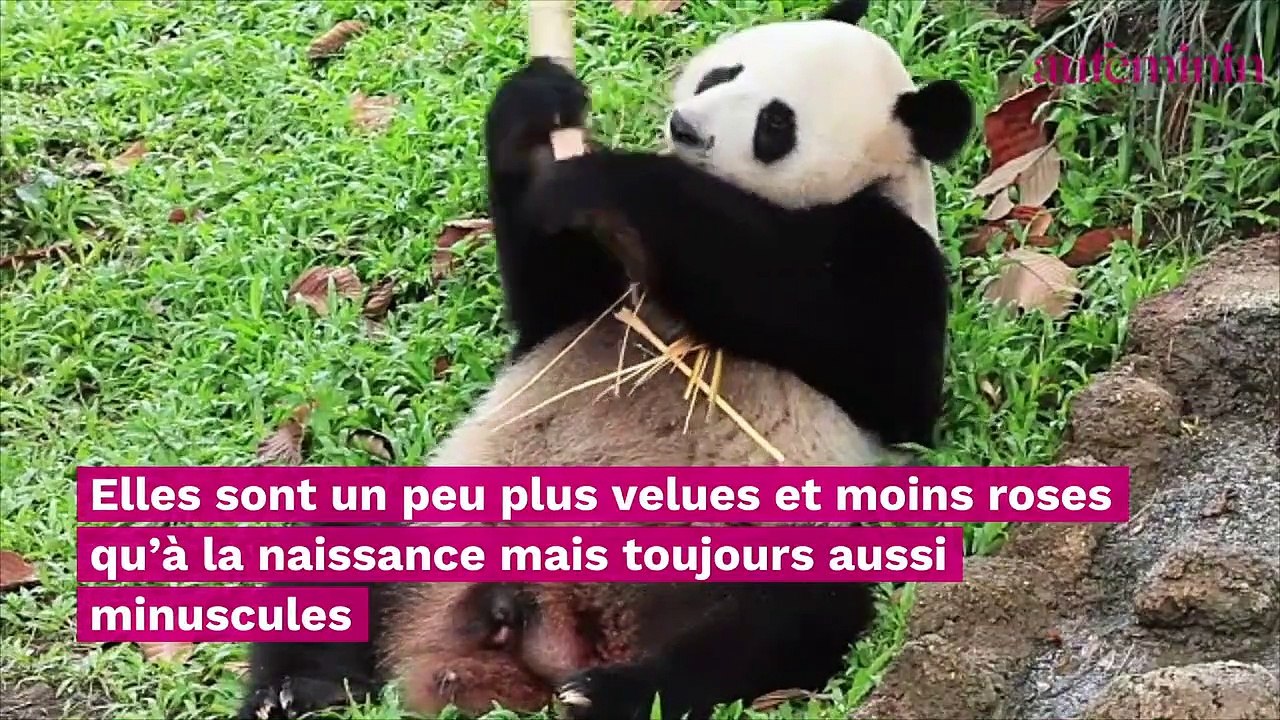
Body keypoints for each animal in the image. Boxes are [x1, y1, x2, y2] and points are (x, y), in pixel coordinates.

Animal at [237, 1, 973, 719]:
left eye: (775, 123)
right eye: (723, 73)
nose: (687, 127)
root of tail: (549, 619)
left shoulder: (890, 253)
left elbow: (851, 345)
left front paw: (617, 176)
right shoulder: (587, 303)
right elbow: (553, 298)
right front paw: (535, 111)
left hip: (746, 556)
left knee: (783, 622)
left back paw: (610, 694)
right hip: (444, 513)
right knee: (334, 538)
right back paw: (294, 688)